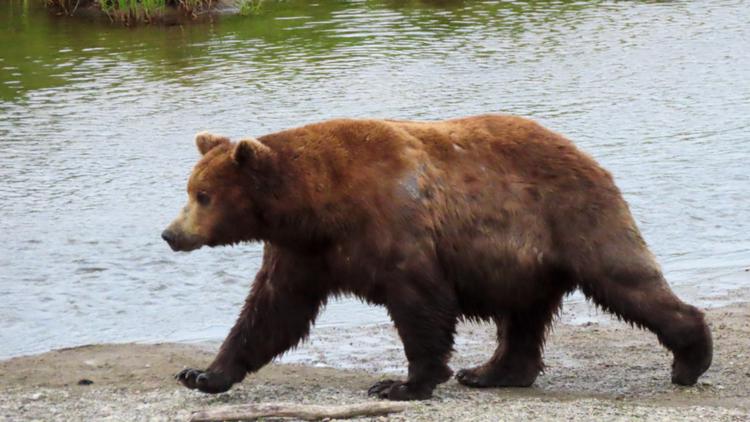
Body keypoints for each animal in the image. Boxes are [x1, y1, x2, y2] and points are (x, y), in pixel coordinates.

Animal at [161, 114, 712, 401]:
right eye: (190, 189)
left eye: (204, 195)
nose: (170, 233)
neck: (316, 205)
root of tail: (587, 155)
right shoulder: (303, 253)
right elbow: (271, 313)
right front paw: (203, 374)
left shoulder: (394, 228)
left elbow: (420, 304)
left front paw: (401, 384)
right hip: (523, 260)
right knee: (522, 318)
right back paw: (491, 372)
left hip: (573, 218)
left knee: (624, 279)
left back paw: (690, 358)